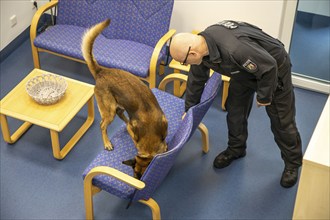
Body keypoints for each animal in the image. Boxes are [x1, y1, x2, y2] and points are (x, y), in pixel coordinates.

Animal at [80, 19, 168, 179]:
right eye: (135, 174)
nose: (137, 183)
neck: (150, 133)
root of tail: (101, 71)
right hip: (109, 112)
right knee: (103, 125)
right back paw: (107, 143)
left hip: (118, 107)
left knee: (123, 118)